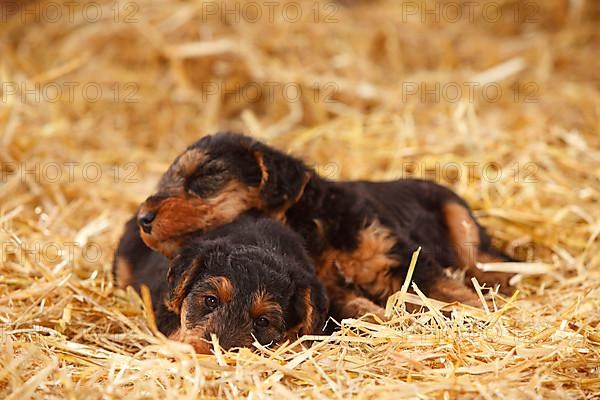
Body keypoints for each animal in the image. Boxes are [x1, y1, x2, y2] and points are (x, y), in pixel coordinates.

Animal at [116, 134, 516, 322]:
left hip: (457, 217)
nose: (143, 218)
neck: (307, 224)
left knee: (484, 259)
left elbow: (445, 287)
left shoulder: (395, 256)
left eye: (208, 174)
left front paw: (481, 310)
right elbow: (360, 307)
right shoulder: (324, 288)